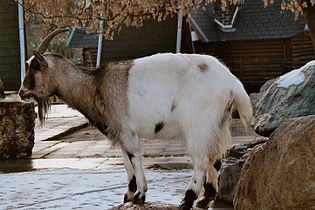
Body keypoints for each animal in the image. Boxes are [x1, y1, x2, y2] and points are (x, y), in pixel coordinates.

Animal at [18, 27, 253, 209]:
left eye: (34, 68)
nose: (21, 92)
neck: (96, 85)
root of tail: (232, 83)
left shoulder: (127, 130)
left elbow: (135, 158)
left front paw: (140, 195)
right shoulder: (121, 133)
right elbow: (126, 162)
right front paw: (129, 195)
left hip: (198, 126)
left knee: (202, 161)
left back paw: (187, 201)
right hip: (218, 124)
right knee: (216, 157)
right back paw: (205, 199)